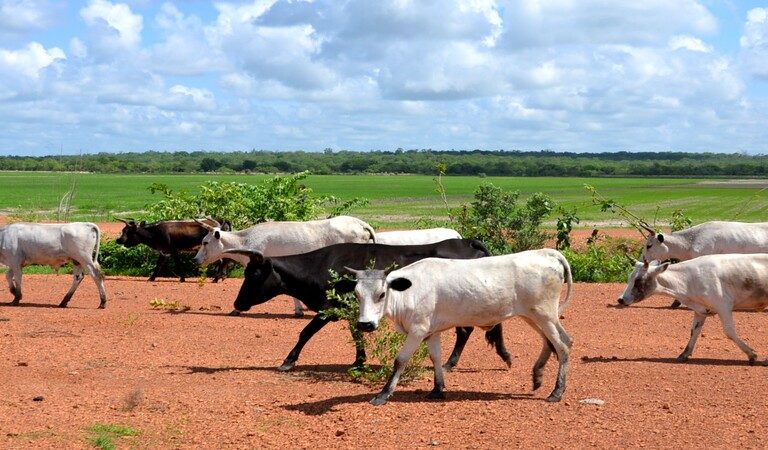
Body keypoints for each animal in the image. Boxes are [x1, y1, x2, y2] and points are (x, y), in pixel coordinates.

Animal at [195, 215, 376, 316]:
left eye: (205, 242)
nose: (195, 260)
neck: (246, 240)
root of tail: (361, 223)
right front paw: (299, 310)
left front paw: (237, 310)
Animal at [231, 241, 512, 370]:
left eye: (253, 274)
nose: (237, 302)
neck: (320, 265)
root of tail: (467, 242)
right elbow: (357, 333)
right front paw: (359, 360)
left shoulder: (327, 308)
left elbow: (305, 332)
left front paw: (288, 360)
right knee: (468, 330)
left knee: (465, 330)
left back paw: (452, 362)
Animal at [352, 248, 572, 406]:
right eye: (357, 294)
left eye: (381, 294)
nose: (365, 324)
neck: (409, 290)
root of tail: (547, 252)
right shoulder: (431, 332)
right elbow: (436, 358)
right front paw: (437, 389)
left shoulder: (418, 330)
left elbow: (400, 360)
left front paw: (383, 394)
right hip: (533, 316)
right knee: (551, 342)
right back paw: (537, 376)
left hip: (544, 314)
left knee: (563, 345)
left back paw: (557, 391)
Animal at [616, 255, 768, 364]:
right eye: (630, 277)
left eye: (638, 280)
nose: (620, 299)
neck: (689, 279)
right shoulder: (701, 311)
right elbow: (694, 331)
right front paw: (684, 354)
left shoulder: (724, 307)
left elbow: (729, 332)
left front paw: (752, 354)